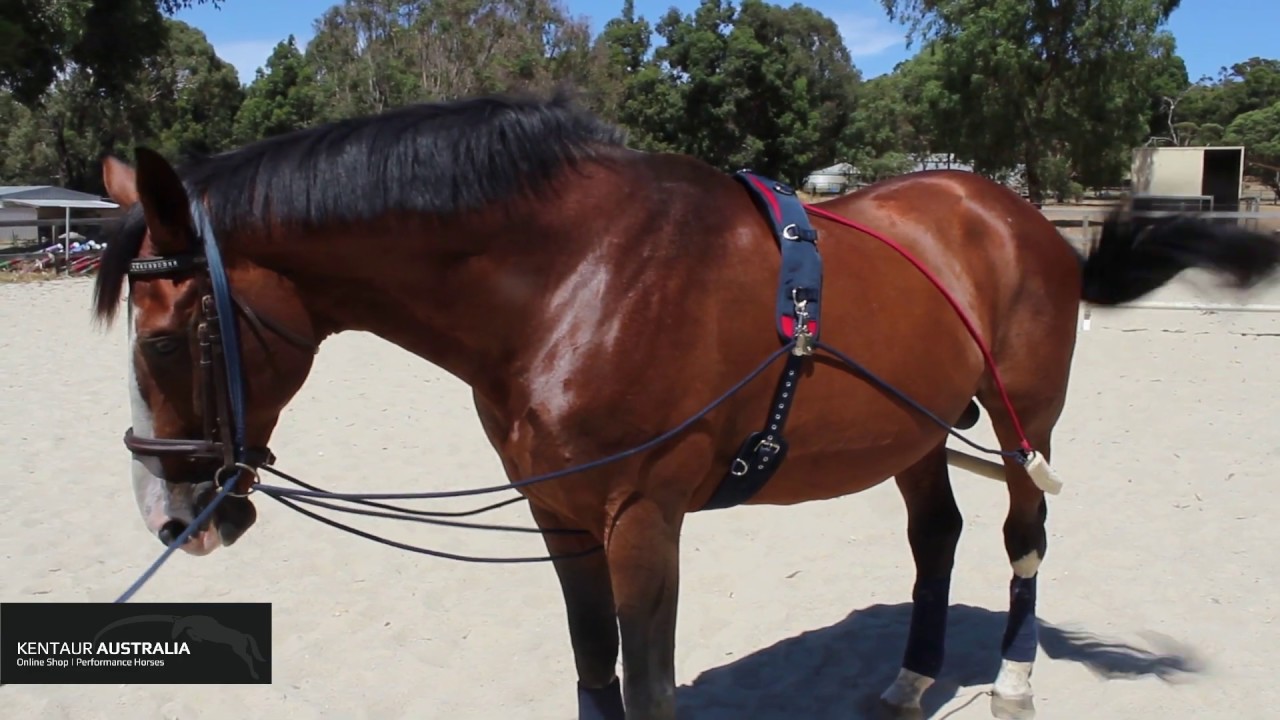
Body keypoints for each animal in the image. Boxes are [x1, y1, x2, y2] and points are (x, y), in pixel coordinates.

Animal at [91, 90, 1280, 720]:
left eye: (163, 338)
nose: (166, 514)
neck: (574, 279)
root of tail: (1013, 214)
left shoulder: (642, 521)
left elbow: (652, 685)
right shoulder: (562, 519)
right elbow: (593, 670)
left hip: (1026, 421)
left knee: (1023, 538)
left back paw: (1013, 682)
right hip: (914, 430)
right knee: (934, 536)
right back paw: (910, 679)